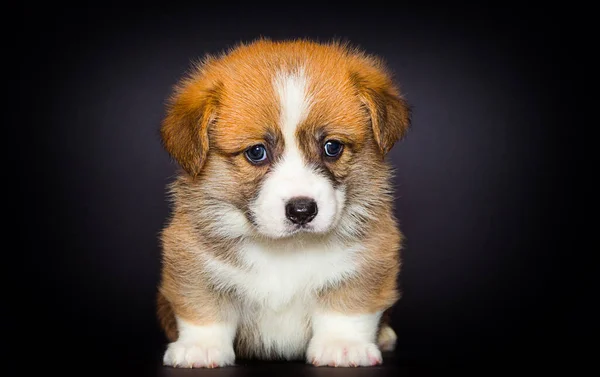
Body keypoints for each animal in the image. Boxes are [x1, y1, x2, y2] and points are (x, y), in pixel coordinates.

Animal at [155, 38, 410, 368]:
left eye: (332, 147)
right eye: (256, 152)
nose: (302, 211)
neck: (286, 250)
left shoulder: (368, 257)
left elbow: (348, 305)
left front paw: (343, 346)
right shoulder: (192, 259)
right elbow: (203, 307)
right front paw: (200, 348)